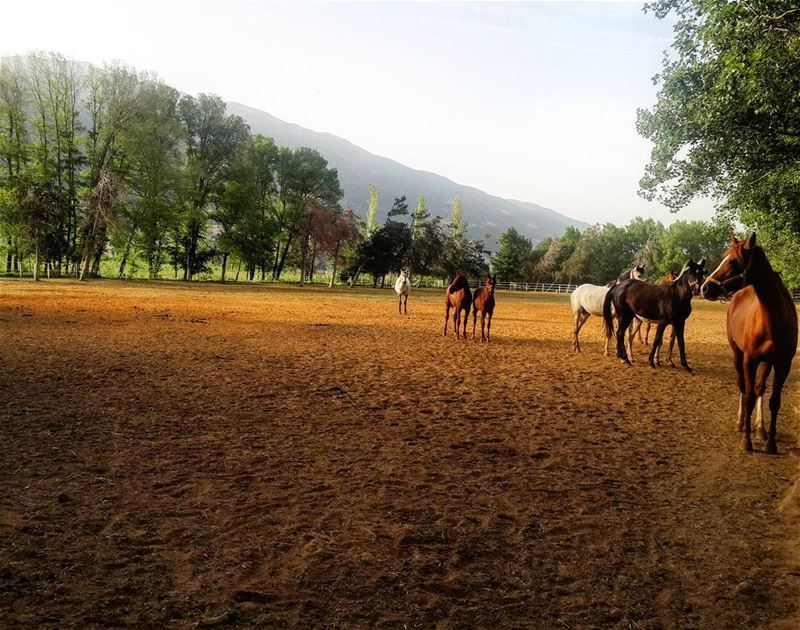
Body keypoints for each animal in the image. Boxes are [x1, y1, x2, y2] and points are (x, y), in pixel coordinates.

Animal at [700, 232, 792, 454]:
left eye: (733, 261)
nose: (705, 287)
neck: (773, 320)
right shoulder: (749, 360)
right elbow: (748, 396)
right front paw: (747, 442)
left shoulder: (782, 364)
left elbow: (774, 401)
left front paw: (770, 442)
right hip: (738, 355)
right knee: (743, 386)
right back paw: (741, 422)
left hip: (766, 362)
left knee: (759, 388)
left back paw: (760, 429)